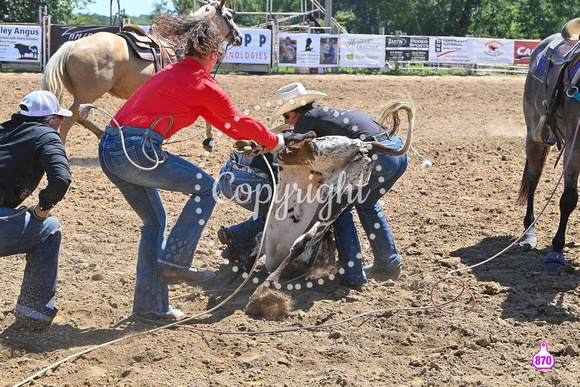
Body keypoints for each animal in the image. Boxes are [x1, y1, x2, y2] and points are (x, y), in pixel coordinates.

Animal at [43, 0, 242, 144]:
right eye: (228, 16)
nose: (239, 37)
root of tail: (72, 45)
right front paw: (209, 141)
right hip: (87, 95)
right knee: (68, 122)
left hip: (84, 98)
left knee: (79, 118)